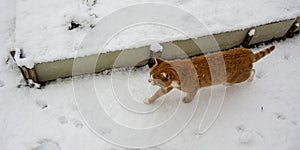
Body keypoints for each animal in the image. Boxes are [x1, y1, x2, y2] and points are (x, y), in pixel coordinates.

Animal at [144, 45, 276, 104]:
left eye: (154, 78)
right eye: (150, 74)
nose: (148, 81)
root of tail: (249, 53)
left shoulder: (193, 88)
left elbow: (190, 95)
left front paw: (187, 100)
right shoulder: (167, 87)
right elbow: (158, 93)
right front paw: (149, 100)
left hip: (239, 77)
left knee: (252, 71)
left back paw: (248, 80)